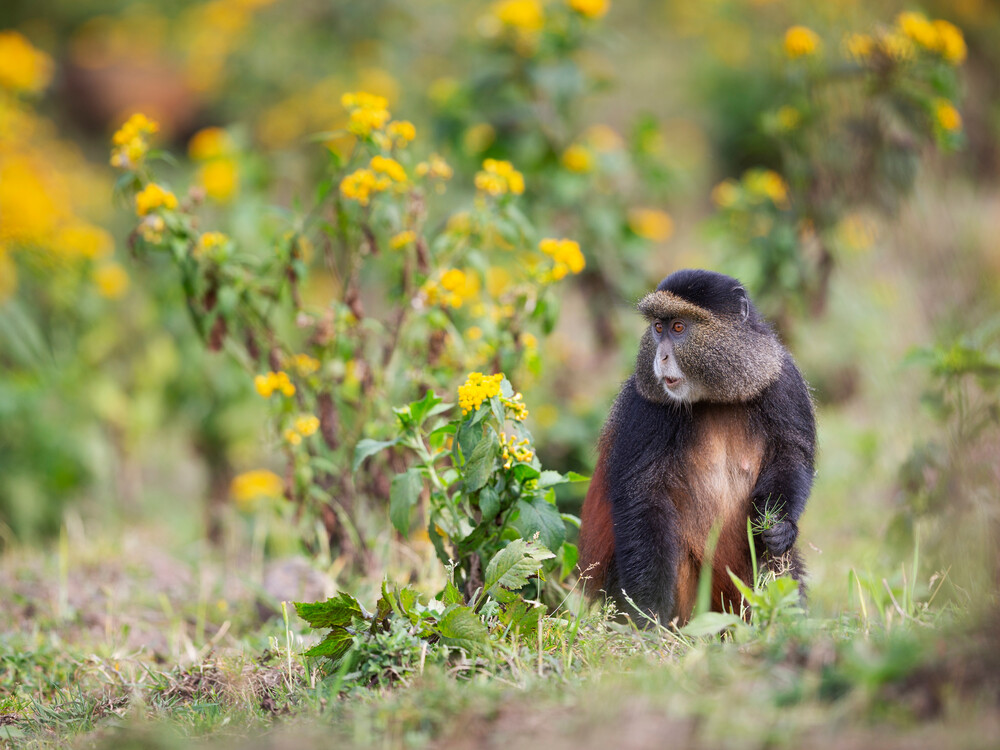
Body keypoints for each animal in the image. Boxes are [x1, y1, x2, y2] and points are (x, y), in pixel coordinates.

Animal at [577, 269, 816, 625]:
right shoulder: (645, 405)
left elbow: (792, 455)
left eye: (678, 328)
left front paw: (781, 528)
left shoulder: (782, 379)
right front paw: (648, 618)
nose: (661, 357)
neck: (714, 396)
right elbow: (644, 497)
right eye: (658, 327)